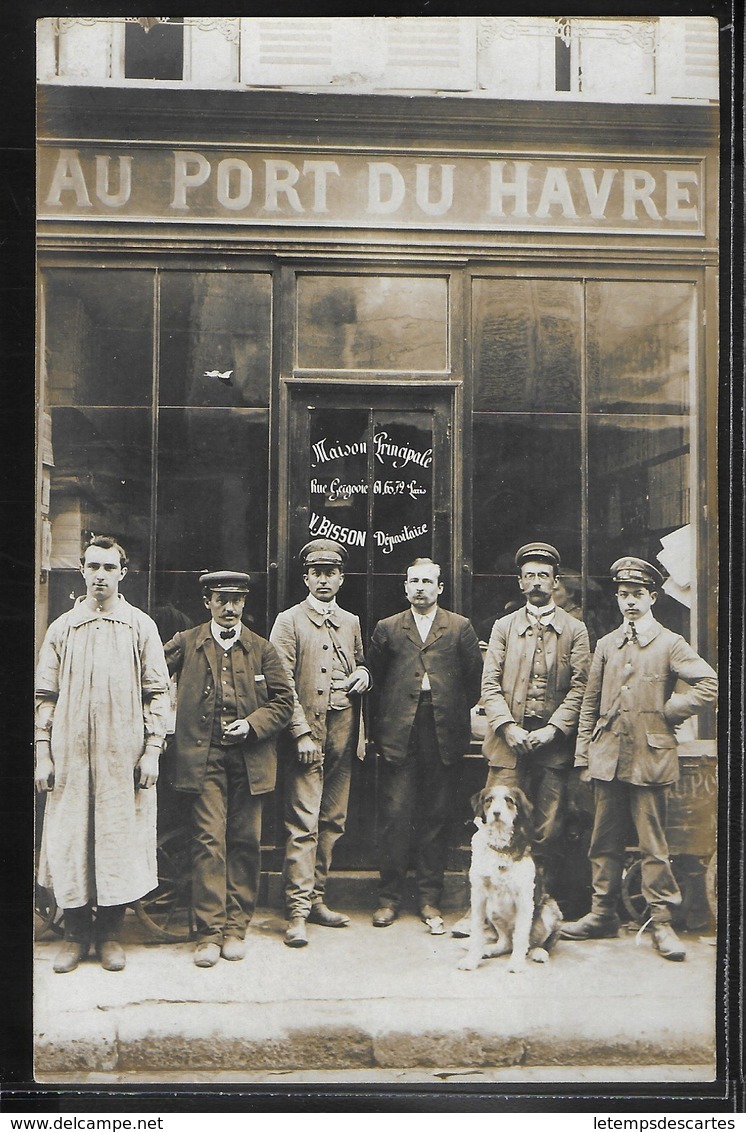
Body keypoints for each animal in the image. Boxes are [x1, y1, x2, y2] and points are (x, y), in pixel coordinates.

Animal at [457, 787, 563, 973]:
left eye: (509, 800)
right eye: (488, 800)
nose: (496, 813)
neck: (499, 846)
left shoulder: (524, 897)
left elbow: (521, 936)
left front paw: (516, 963)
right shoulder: (478, 894)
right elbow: (476, 931)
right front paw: (471, 960)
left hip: (550, 910)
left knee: (537, 943)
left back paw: (539, 952)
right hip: (492, 909)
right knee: (506, 943)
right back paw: (488, 950)